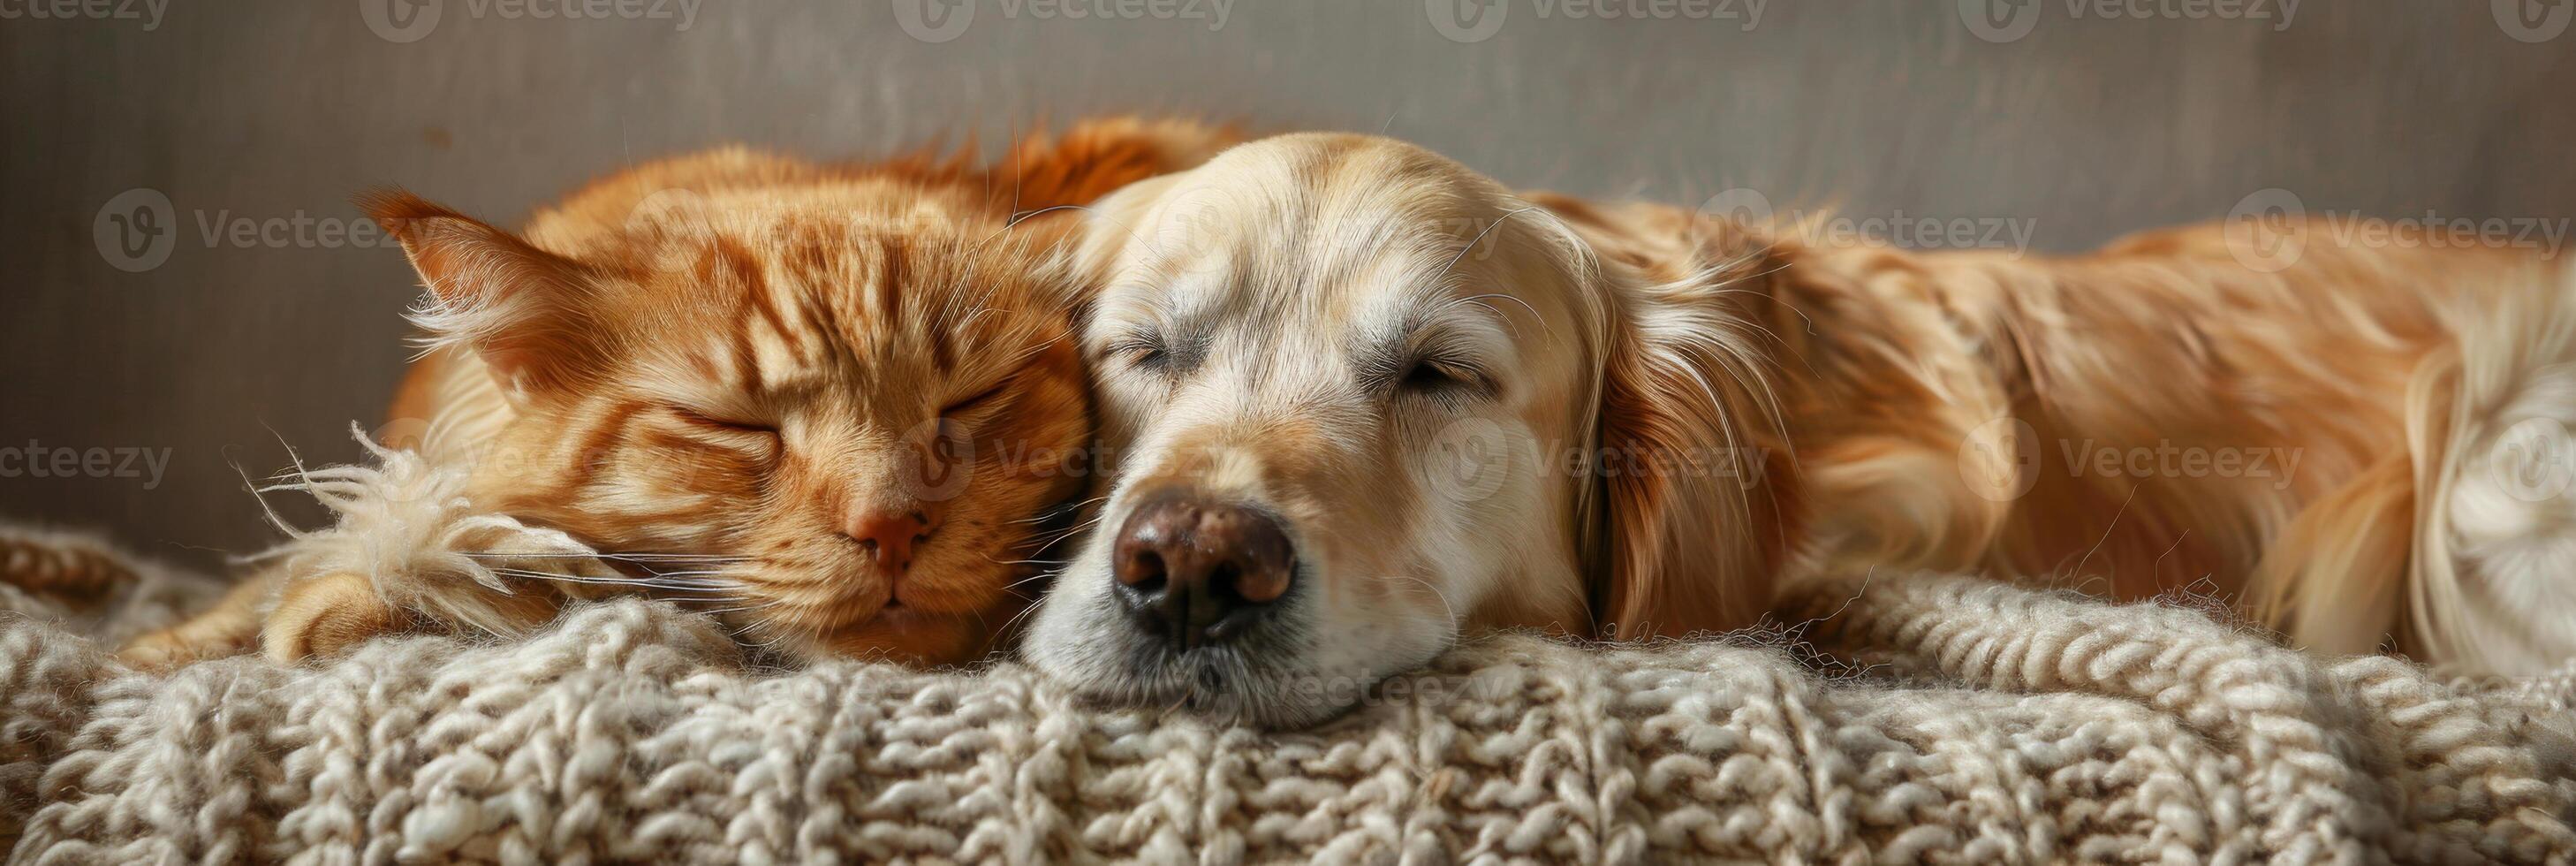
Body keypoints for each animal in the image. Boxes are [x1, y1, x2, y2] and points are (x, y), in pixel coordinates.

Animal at [128, 118, 1236, 665]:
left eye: (971, 399)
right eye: (734, 425)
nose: (891, 527)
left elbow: (552, 566)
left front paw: (358, 600)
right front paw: (177, 640)